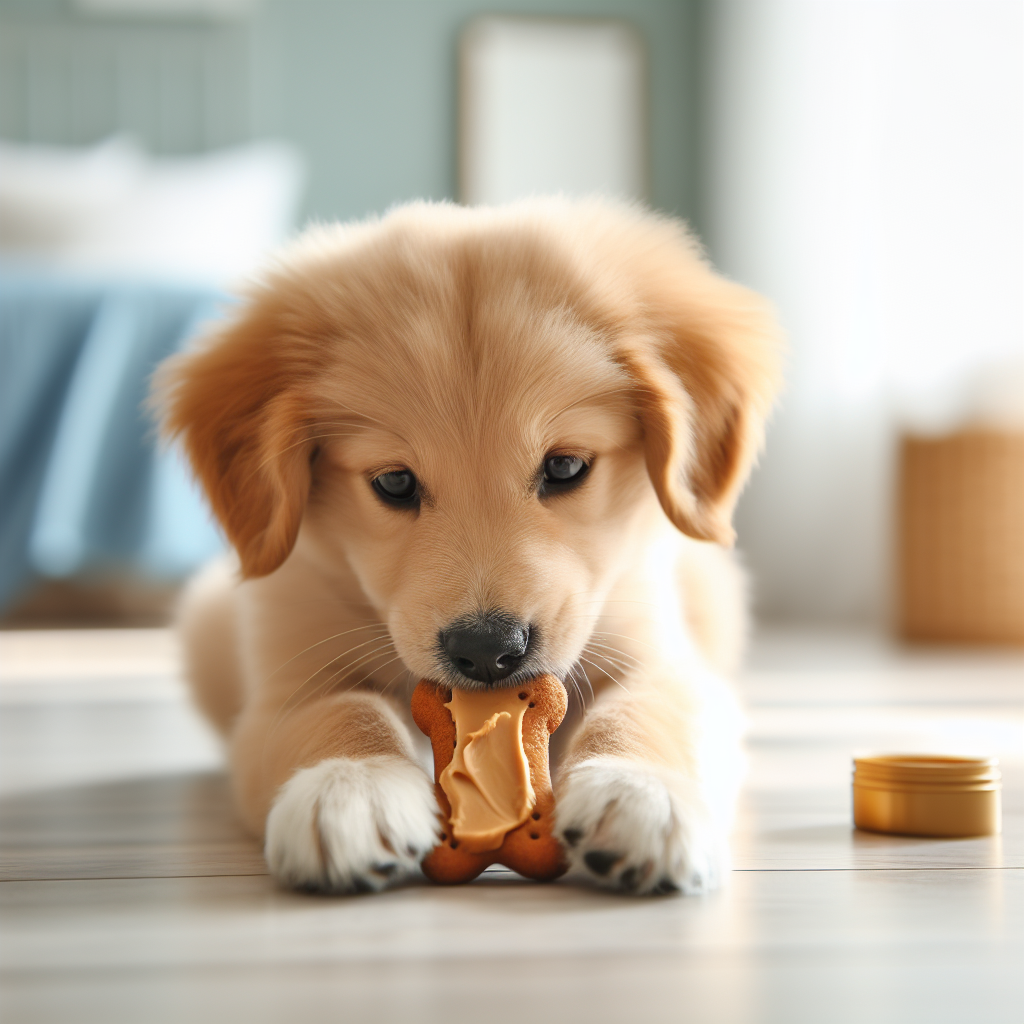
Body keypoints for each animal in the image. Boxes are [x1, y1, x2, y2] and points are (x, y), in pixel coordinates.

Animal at [157, 197, 782, 897]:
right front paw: (349, 788)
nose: (487, 652)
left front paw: (641, 792)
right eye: (394, 482)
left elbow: (647, 709)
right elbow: (340, 712)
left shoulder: (654, 644)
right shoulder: (286, 678)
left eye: (565, 467)